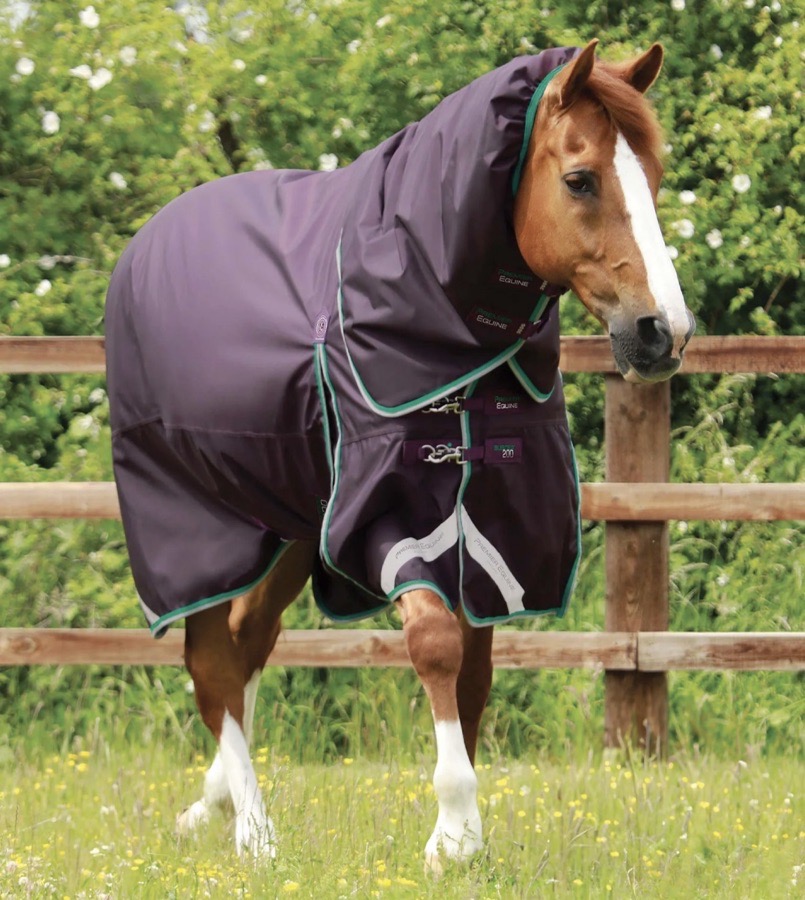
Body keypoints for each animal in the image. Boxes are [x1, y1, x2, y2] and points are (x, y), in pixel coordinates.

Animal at [105, 39, 695, 869]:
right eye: (580, 179)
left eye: (654, 174)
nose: (662, 333)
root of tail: (145, 245)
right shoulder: (389, 517)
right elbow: (438, 646)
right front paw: (451, 834)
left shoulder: (490, 525)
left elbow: (476, 672)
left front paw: (469, 836)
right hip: (199, 521)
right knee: (211, 658)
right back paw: (254, 831)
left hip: (289, 525)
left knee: (246, 643)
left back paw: (211, 807)